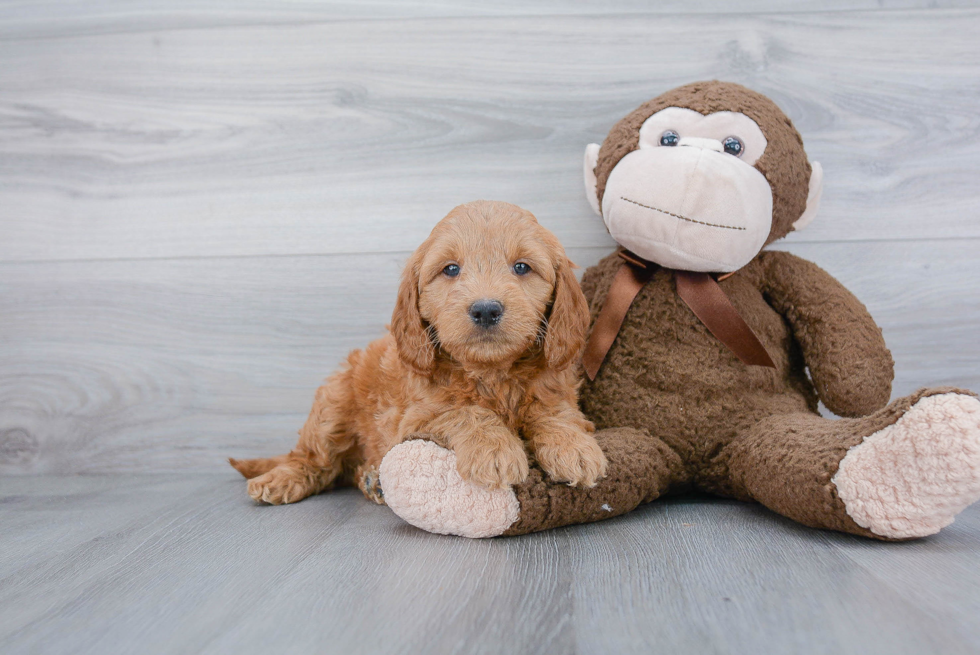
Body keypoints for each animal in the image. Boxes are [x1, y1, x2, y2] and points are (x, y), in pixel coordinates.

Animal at [230, 201, 604, 508]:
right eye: (451, 269)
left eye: (522, 267)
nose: (485, 309)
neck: (491, 372)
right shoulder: (415, 418)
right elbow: (464, 411)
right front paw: (494, 449)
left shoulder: (556, 394)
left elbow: (556, 414)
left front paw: (574, 448)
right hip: (331, 404)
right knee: (315, 459)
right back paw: (283, 478)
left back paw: (372, 479)